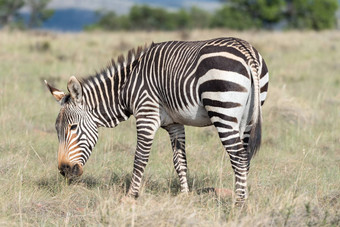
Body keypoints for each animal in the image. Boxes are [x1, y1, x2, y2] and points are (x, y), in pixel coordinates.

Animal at [44, 37, 268, 204]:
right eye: (57, 131)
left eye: (73, 127)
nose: (64, 170)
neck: (126, 87)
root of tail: (246, 50)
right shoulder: (174, 124)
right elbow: (180, 161)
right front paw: (184, 196)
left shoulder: (146, 115)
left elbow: (140, 158)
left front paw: (131, 196)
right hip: (246, 117)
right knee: (244, 157)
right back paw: (241, 196)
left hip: (223, 110)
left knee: (238, 156)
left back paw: (239, 203)